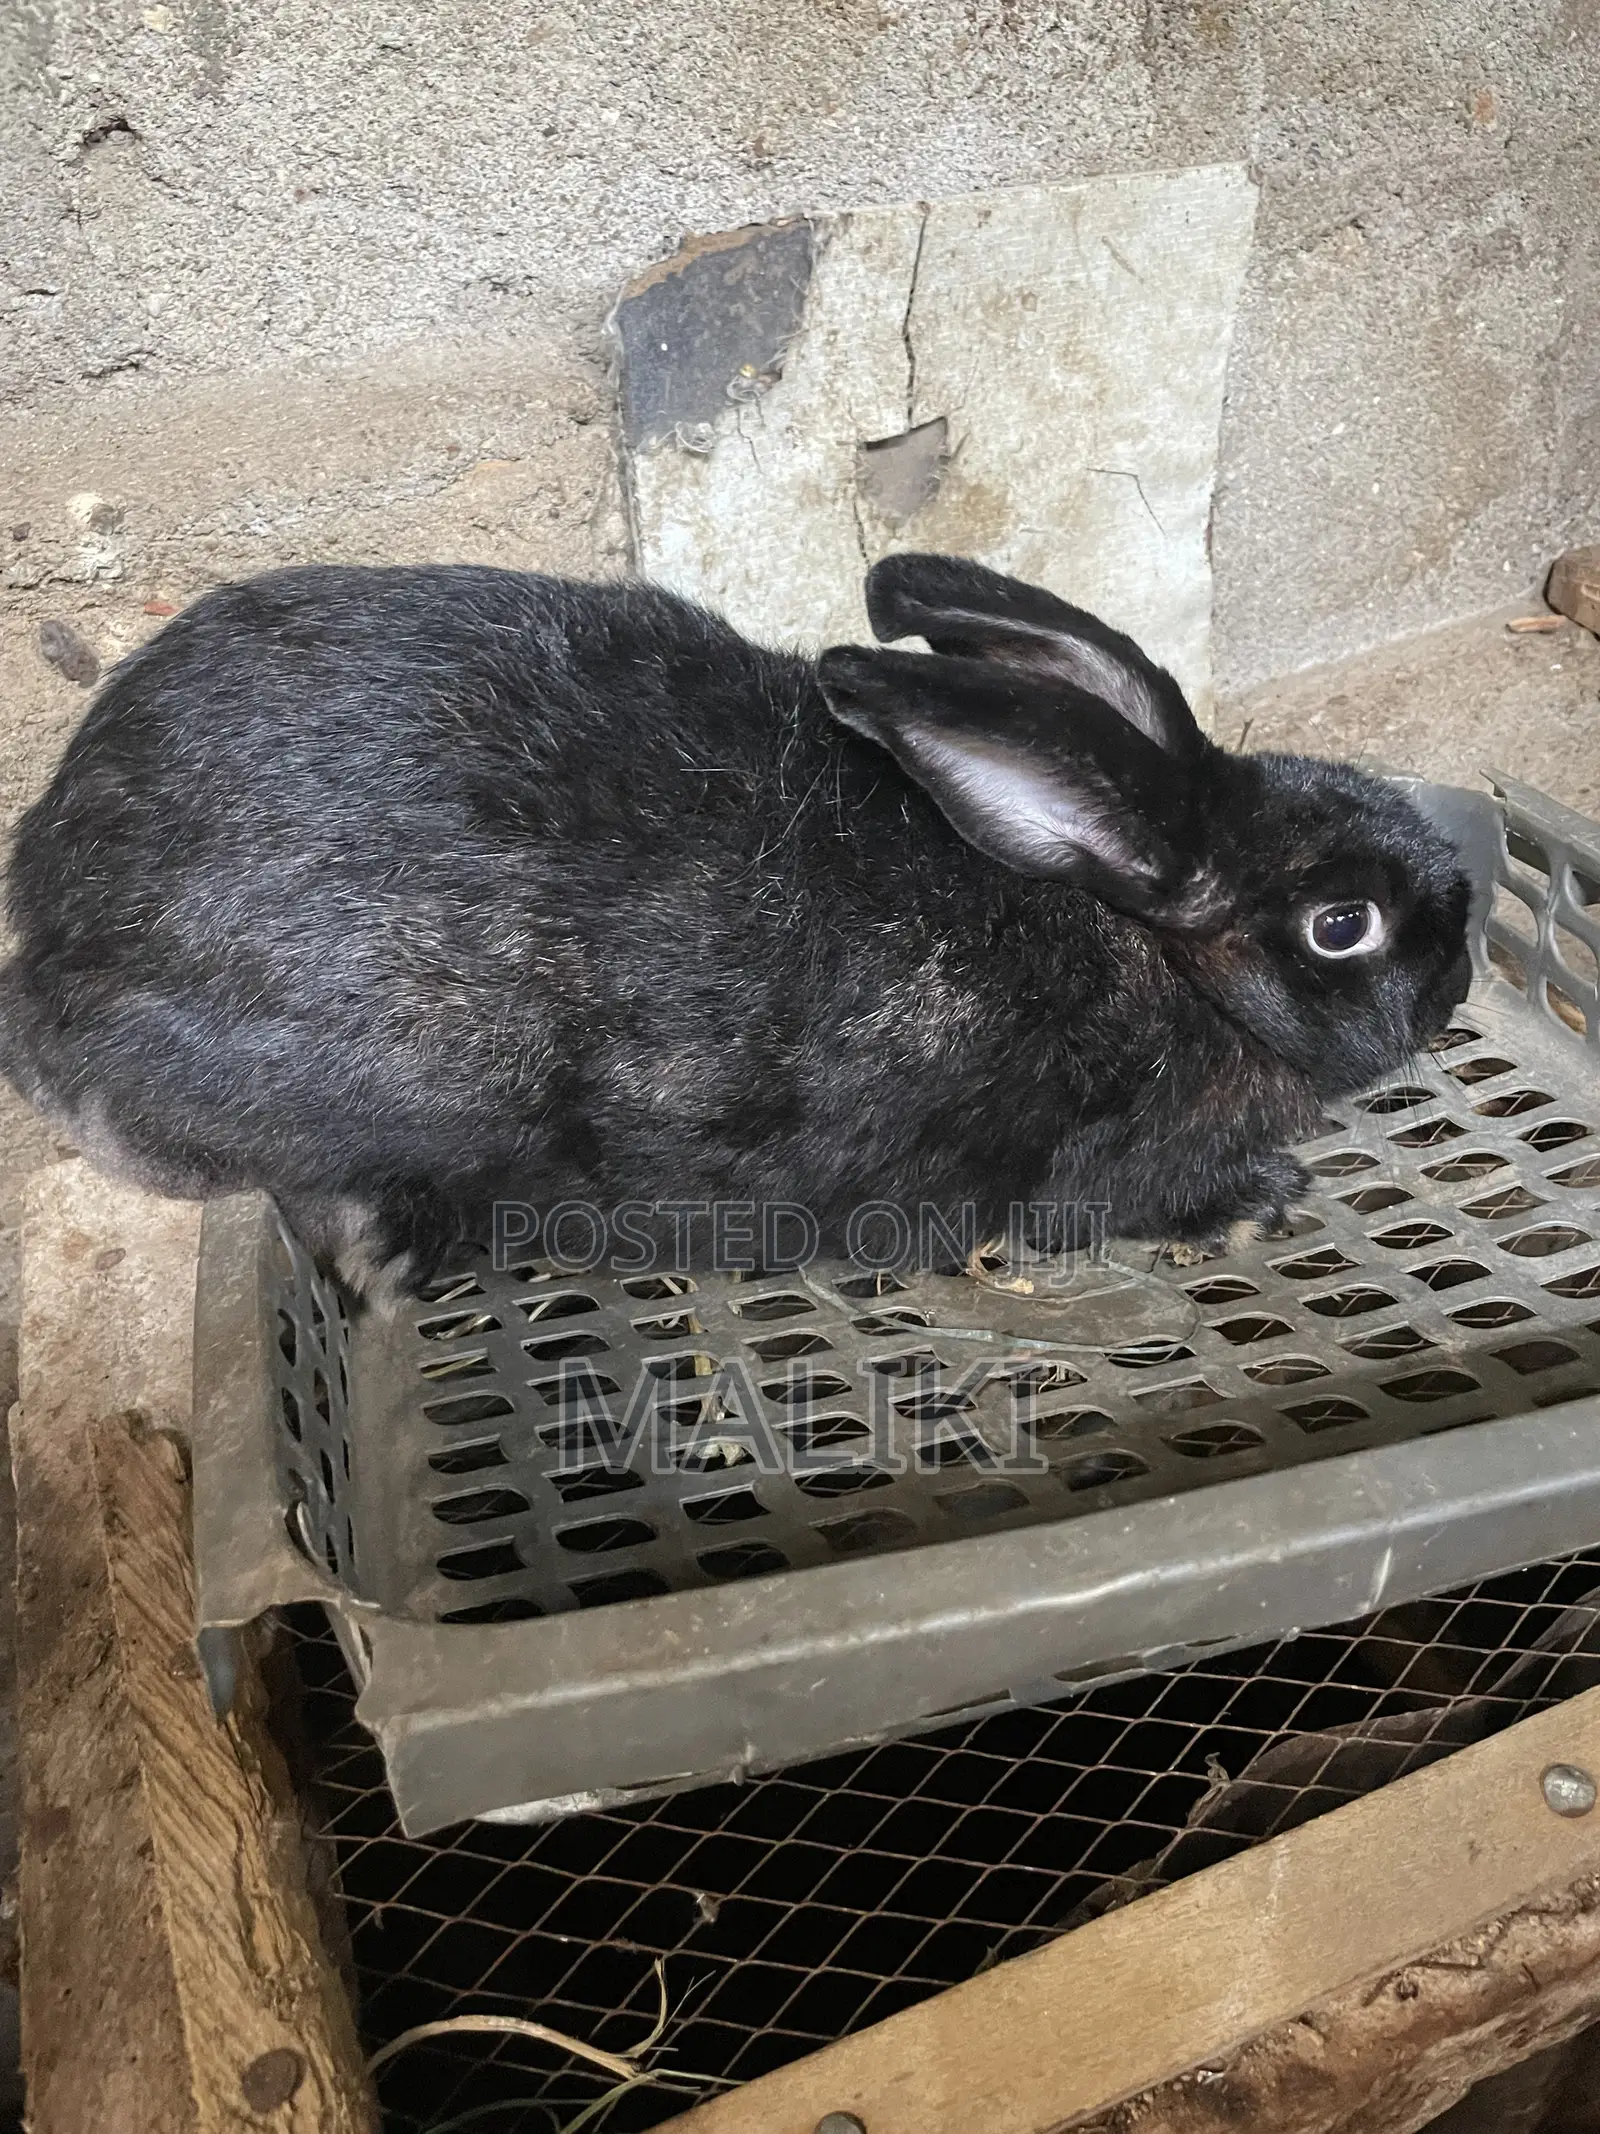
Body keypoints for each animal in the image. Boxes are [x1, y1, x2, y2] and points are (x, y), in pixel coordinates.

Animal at [0, 552, 1472, 1296]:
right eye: (1342, 926)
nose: (1460, 954)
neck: (1159, 956)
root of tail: (44, 932)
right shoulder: (1084, 1165)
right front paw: (1260, 1199)